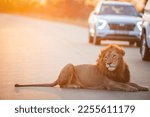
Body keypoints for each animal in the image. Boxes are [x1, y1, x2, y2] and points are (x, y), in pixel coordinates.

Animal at [14, 44, 148, 91]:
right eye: (106, 57)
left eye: (114, 56)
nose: (109, 63)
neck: (117, 71)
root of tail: (57, 77)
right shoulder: (110, 84)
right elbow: (124, 86)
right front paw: (132, 89)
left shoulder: (122, 79)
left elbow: (133, 83)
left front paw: (143, 87)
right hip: (69, 65)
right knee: (62, 85)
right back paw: (74, 86)